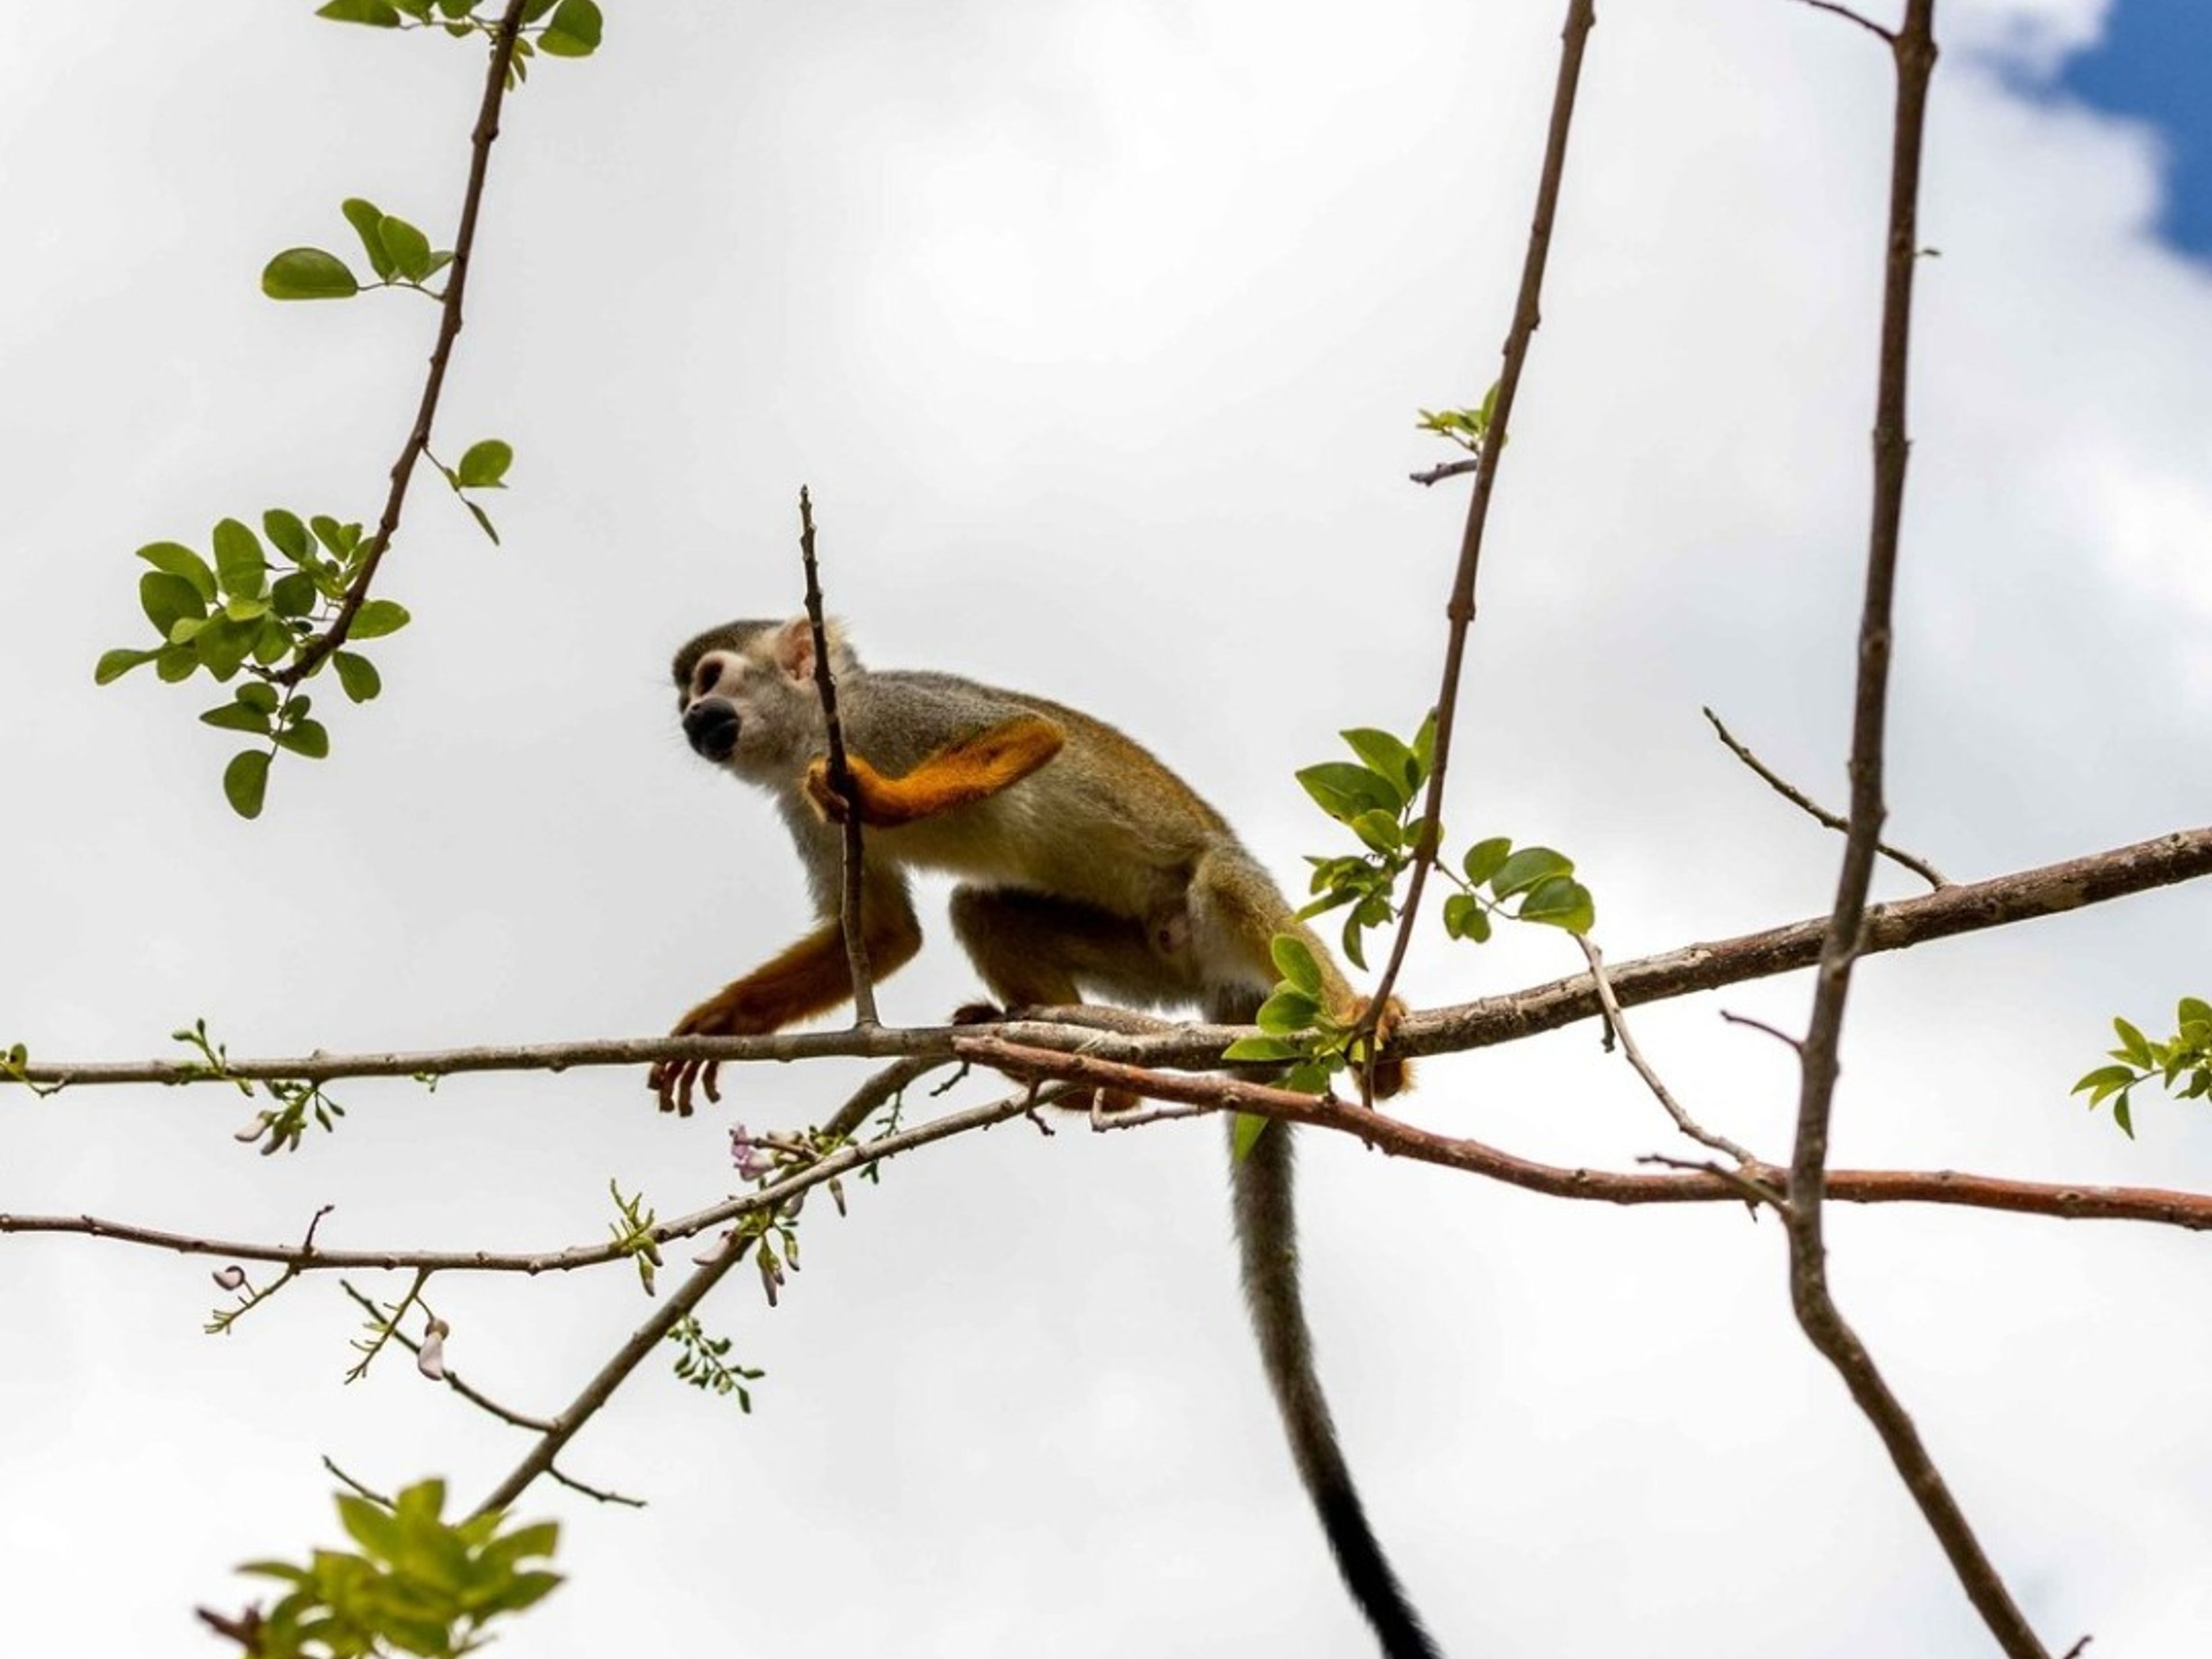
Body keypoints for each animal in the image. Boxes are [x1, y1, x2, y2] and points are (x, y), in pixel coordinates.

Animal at [652, 615, 1440, 1659]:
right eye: (685, 694)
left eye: (708, 679)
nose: (690, 717)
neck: (807, 735)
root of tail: (1228, 997)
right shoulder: (796, 801)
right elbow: (884, 932)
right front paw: (718, 1022)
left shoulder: (884, 711)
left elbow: (1028, 735)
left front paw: (885, 797)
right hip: (1147, 961)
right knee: (983, 905)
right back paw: (1065, 1067)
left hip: (1214, 932)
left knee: (1219, 876)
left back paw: (1355, 1018)